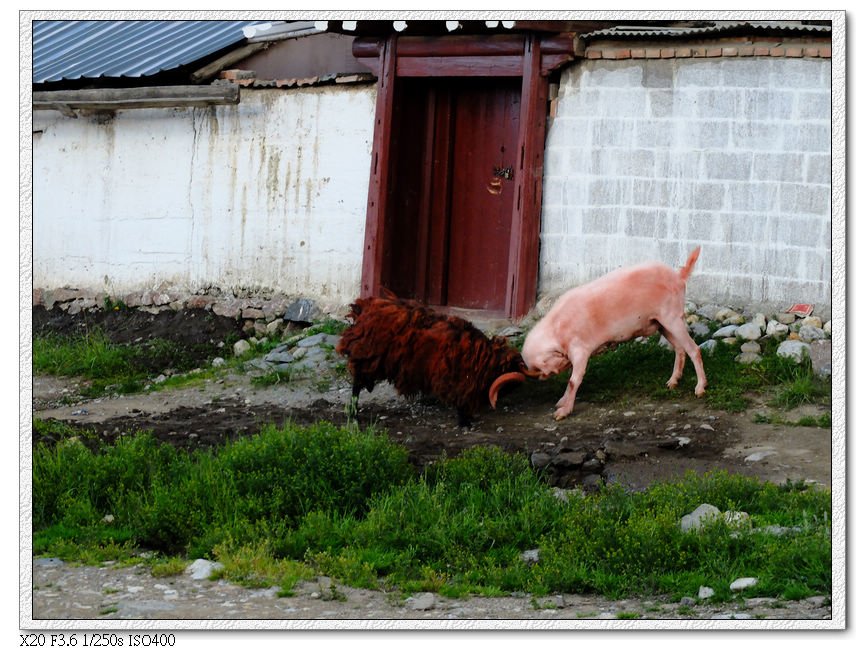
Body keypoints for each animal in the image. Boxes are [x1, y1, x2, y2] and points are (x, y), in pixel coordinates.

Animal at [336, 292, 528, 426]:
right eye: (508, 386)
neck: (482, 357)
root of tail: (363, 309)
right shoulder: (458, 380)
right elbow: (461, 401)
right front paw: (465, 422)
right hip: (367, 359)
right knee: (356, 387)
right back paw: (354, 415)